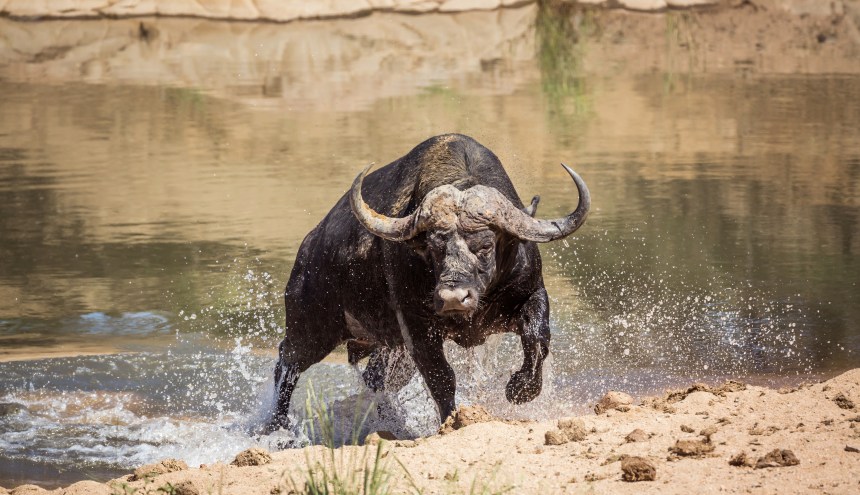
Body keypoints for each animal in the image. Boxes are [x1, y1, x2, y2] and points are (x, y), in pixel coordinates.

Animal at [270, 134, 589, 431]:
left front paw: (521, 389)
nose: (453, 298)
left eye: (486, 245)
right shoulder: (416, 326)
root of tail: (309, 246)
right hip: (311, 328)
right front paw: (452, 420)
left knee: (376, 379)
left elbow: (537, 338)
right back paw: (276, 426)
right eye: (433, 248)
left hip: (386, 347)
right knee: (287, 364)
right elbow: (441, 377)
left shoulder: (531, 293)